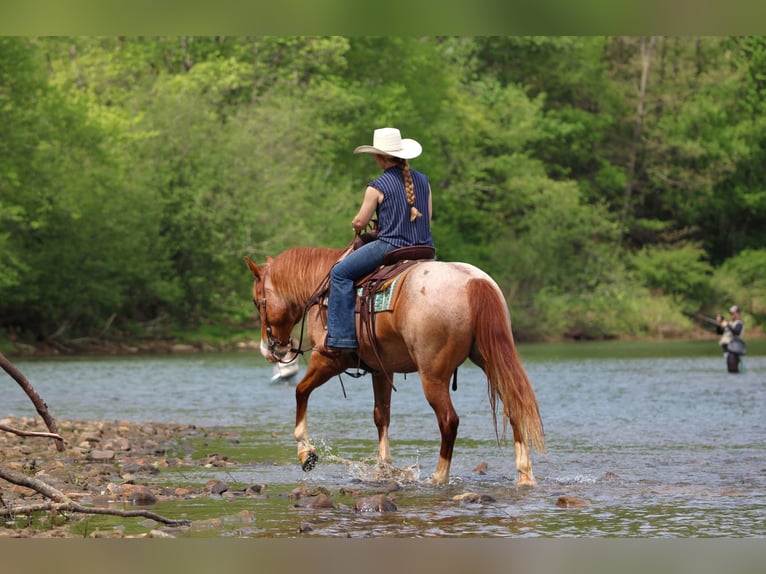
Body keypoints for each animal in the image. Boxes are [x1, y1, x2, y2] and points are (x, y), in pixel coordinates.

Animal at [245, 246, 545, 485]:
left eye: (256, 301)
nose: (269, 349)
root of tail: (472, 281)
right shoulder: (381, 369)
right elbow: (381, 416)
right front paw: (384, 468)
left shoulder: (328, 360)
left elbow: (301, 392)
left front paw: (305, 452)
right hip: (490, 360)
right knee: (513, 406)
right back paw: (524, 473)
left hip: (433, 376)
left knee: (449, 421)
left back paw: (439, 477)